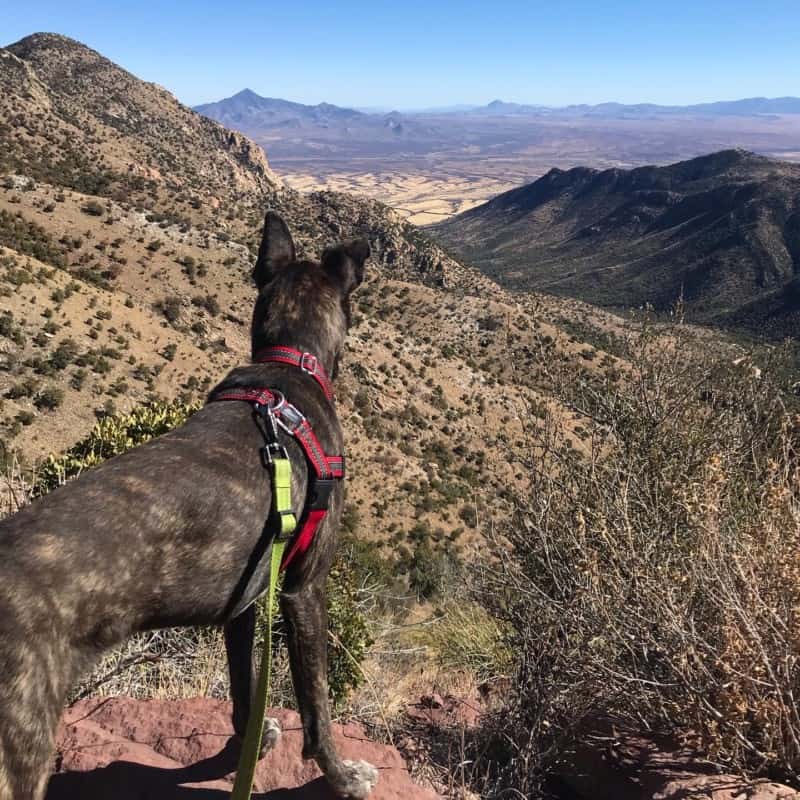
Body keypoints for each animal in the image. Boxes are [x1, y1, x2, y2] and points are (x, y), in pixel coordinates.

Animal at [0, 209, 376, 796]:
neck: (289, 365)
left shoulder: (244, 598)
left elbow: (244, 690)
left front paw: (249, 747)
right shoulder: (303, 588)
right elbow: (317, 707)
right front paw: (342, 776)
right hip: (21, 741)